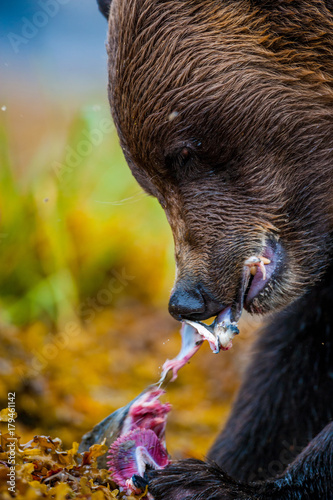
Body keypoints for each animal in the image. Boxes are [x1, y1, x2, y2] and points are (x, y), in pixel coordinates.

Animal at [96, 0, 332, 498]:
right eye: (148, 182)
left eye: (185, 152)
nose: (186, 299)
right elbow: (296, 359)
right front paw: (228, 460)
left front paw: (204, 482)